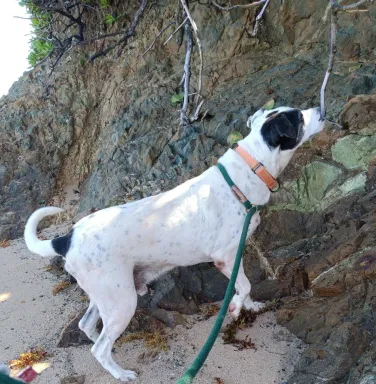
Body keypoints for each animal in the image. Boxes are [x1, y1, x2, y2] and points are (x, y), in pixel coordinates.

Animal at [24, 105, 324, 380]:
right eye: (299, 117)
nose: (320, 110)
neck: (249, 170)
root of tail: (67, 238)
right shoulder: (225, 256)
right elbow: (245, 285)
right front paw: (237, 307)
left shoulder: (233, 257)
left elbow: (245, 287)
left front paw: (249, 306)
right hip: (122, 301)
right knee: (99, 348)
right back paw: (121, 373)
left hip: (106, 295)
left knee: (88, 327)